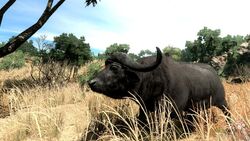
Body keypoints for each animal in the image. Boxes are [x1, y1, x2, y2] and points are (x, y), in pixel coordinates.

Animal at [88, 47, 230, 128]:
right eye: (105, 65)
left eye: (114, 68)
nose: (91, 82)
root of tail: (215, 75)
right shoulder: (144, 109)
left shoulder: (173, 111)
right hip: (194, 108)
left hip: (222, 102)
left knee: (228, 113)